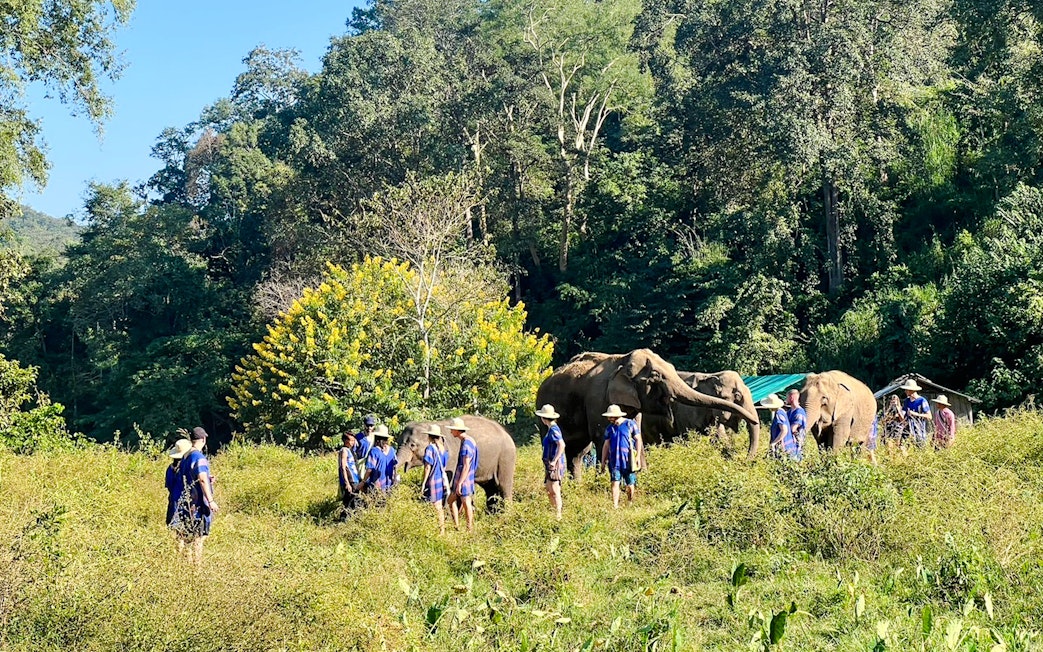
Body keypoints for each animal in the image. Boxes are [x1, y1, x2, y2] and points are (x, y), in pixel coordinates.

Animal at [534, 349, 761, 478]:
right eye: (656, 376)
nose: (746, 460)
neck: (621, 360)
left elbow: (635, 436)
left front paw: (642, 476)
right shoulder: (598, 400)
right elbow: (603, 437)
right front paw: (604, 483)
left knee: (578, 452)